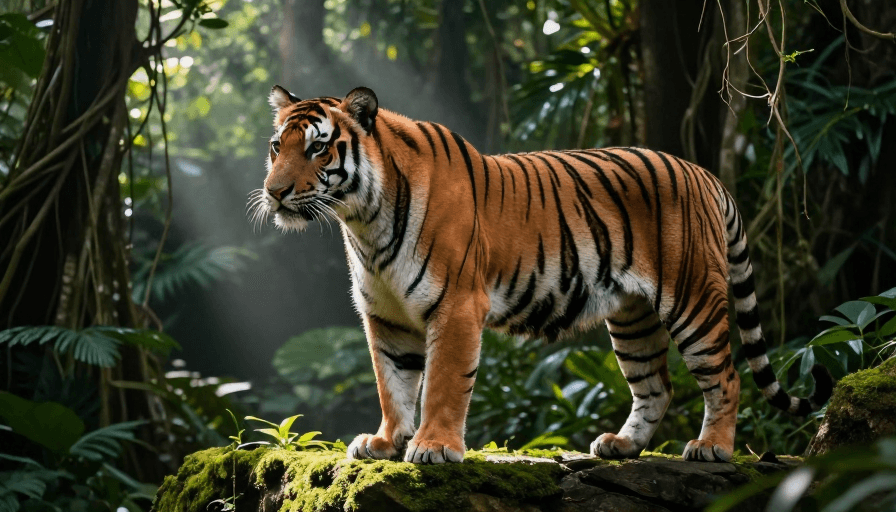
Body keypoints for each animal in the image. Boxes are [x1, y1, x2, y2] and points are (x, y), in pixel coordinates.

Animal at [250, 84, 833, 464]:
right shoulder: (386, 316)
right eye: (278, 146)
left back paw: (712, 448)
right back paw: (621, 445)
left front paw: (433, 447)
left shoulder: (456, 306)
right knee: (657, 385)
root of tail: (703, 173)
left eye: (318, 147)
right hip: (633, 318)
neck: (362, 220)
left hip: (694, 300)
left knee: (726, 377)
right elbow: (392, 384)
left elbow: (441, 383)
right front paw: (386, 442)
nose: (274, 192)